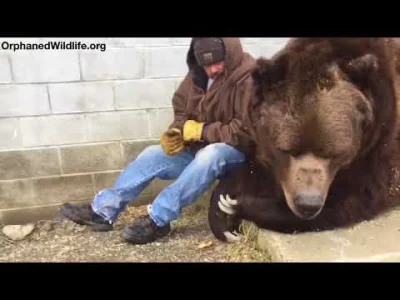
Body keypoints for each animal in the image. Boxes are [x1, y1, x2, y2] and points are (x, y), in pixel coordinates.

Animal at [208, 38, 400, 244]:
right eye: (287, 150)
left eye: (334, 154)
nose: (308, 204)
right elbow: (256, 168)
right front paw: (222, 207)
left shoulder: (379, 147)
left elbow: (350, 199)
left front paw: (239, 205)